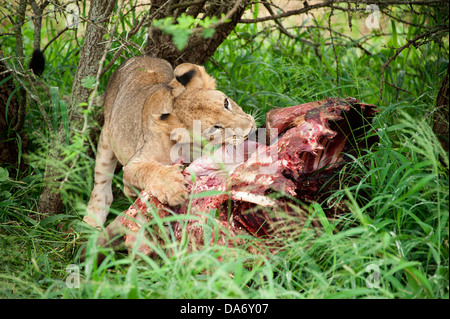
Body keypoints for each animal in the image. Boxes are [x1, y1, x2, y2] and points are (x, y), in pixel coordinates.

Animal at [83, 56, 255, 229]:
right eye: (214, 129)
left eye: (226, 103)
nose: (250, 129)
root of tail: (140, 56)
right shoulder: (131, 168)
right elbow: (147, 169)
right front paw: (172, 188)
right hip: (107, 137)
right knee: (101, 182)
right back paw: (91, 221)